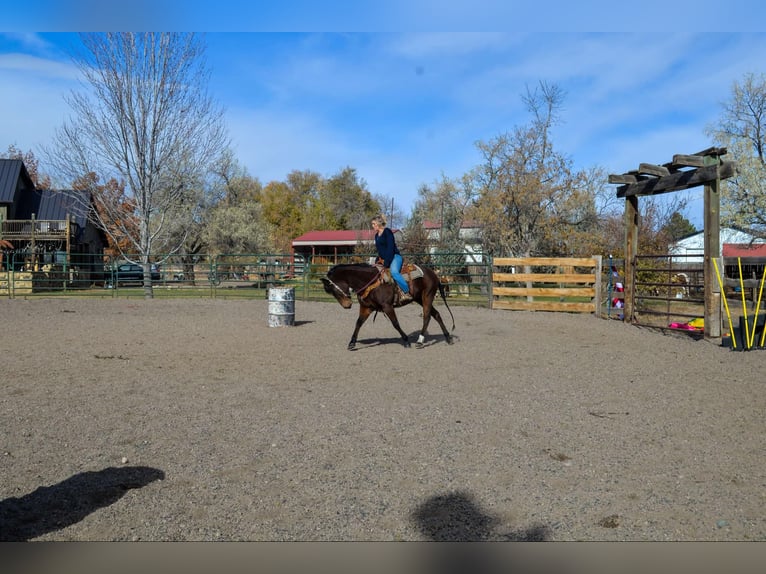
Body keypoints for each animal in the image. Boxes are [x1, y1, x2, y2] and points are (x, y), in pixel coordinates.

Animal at [320, 262, 455, 350]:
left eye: (333, 289)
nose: (347, 305)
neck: (369, 281)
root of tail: (433, 274)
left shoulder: (387, 307)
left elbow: (395, 323)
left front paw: (406, 341)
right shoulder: (366, 307)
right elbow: (358, 323)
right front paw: (352, 342)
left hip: (427, 296)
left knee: (427, 316)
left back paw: (420, 341)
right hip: (419, 299)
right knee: (436, 314)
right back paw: (448, 338)